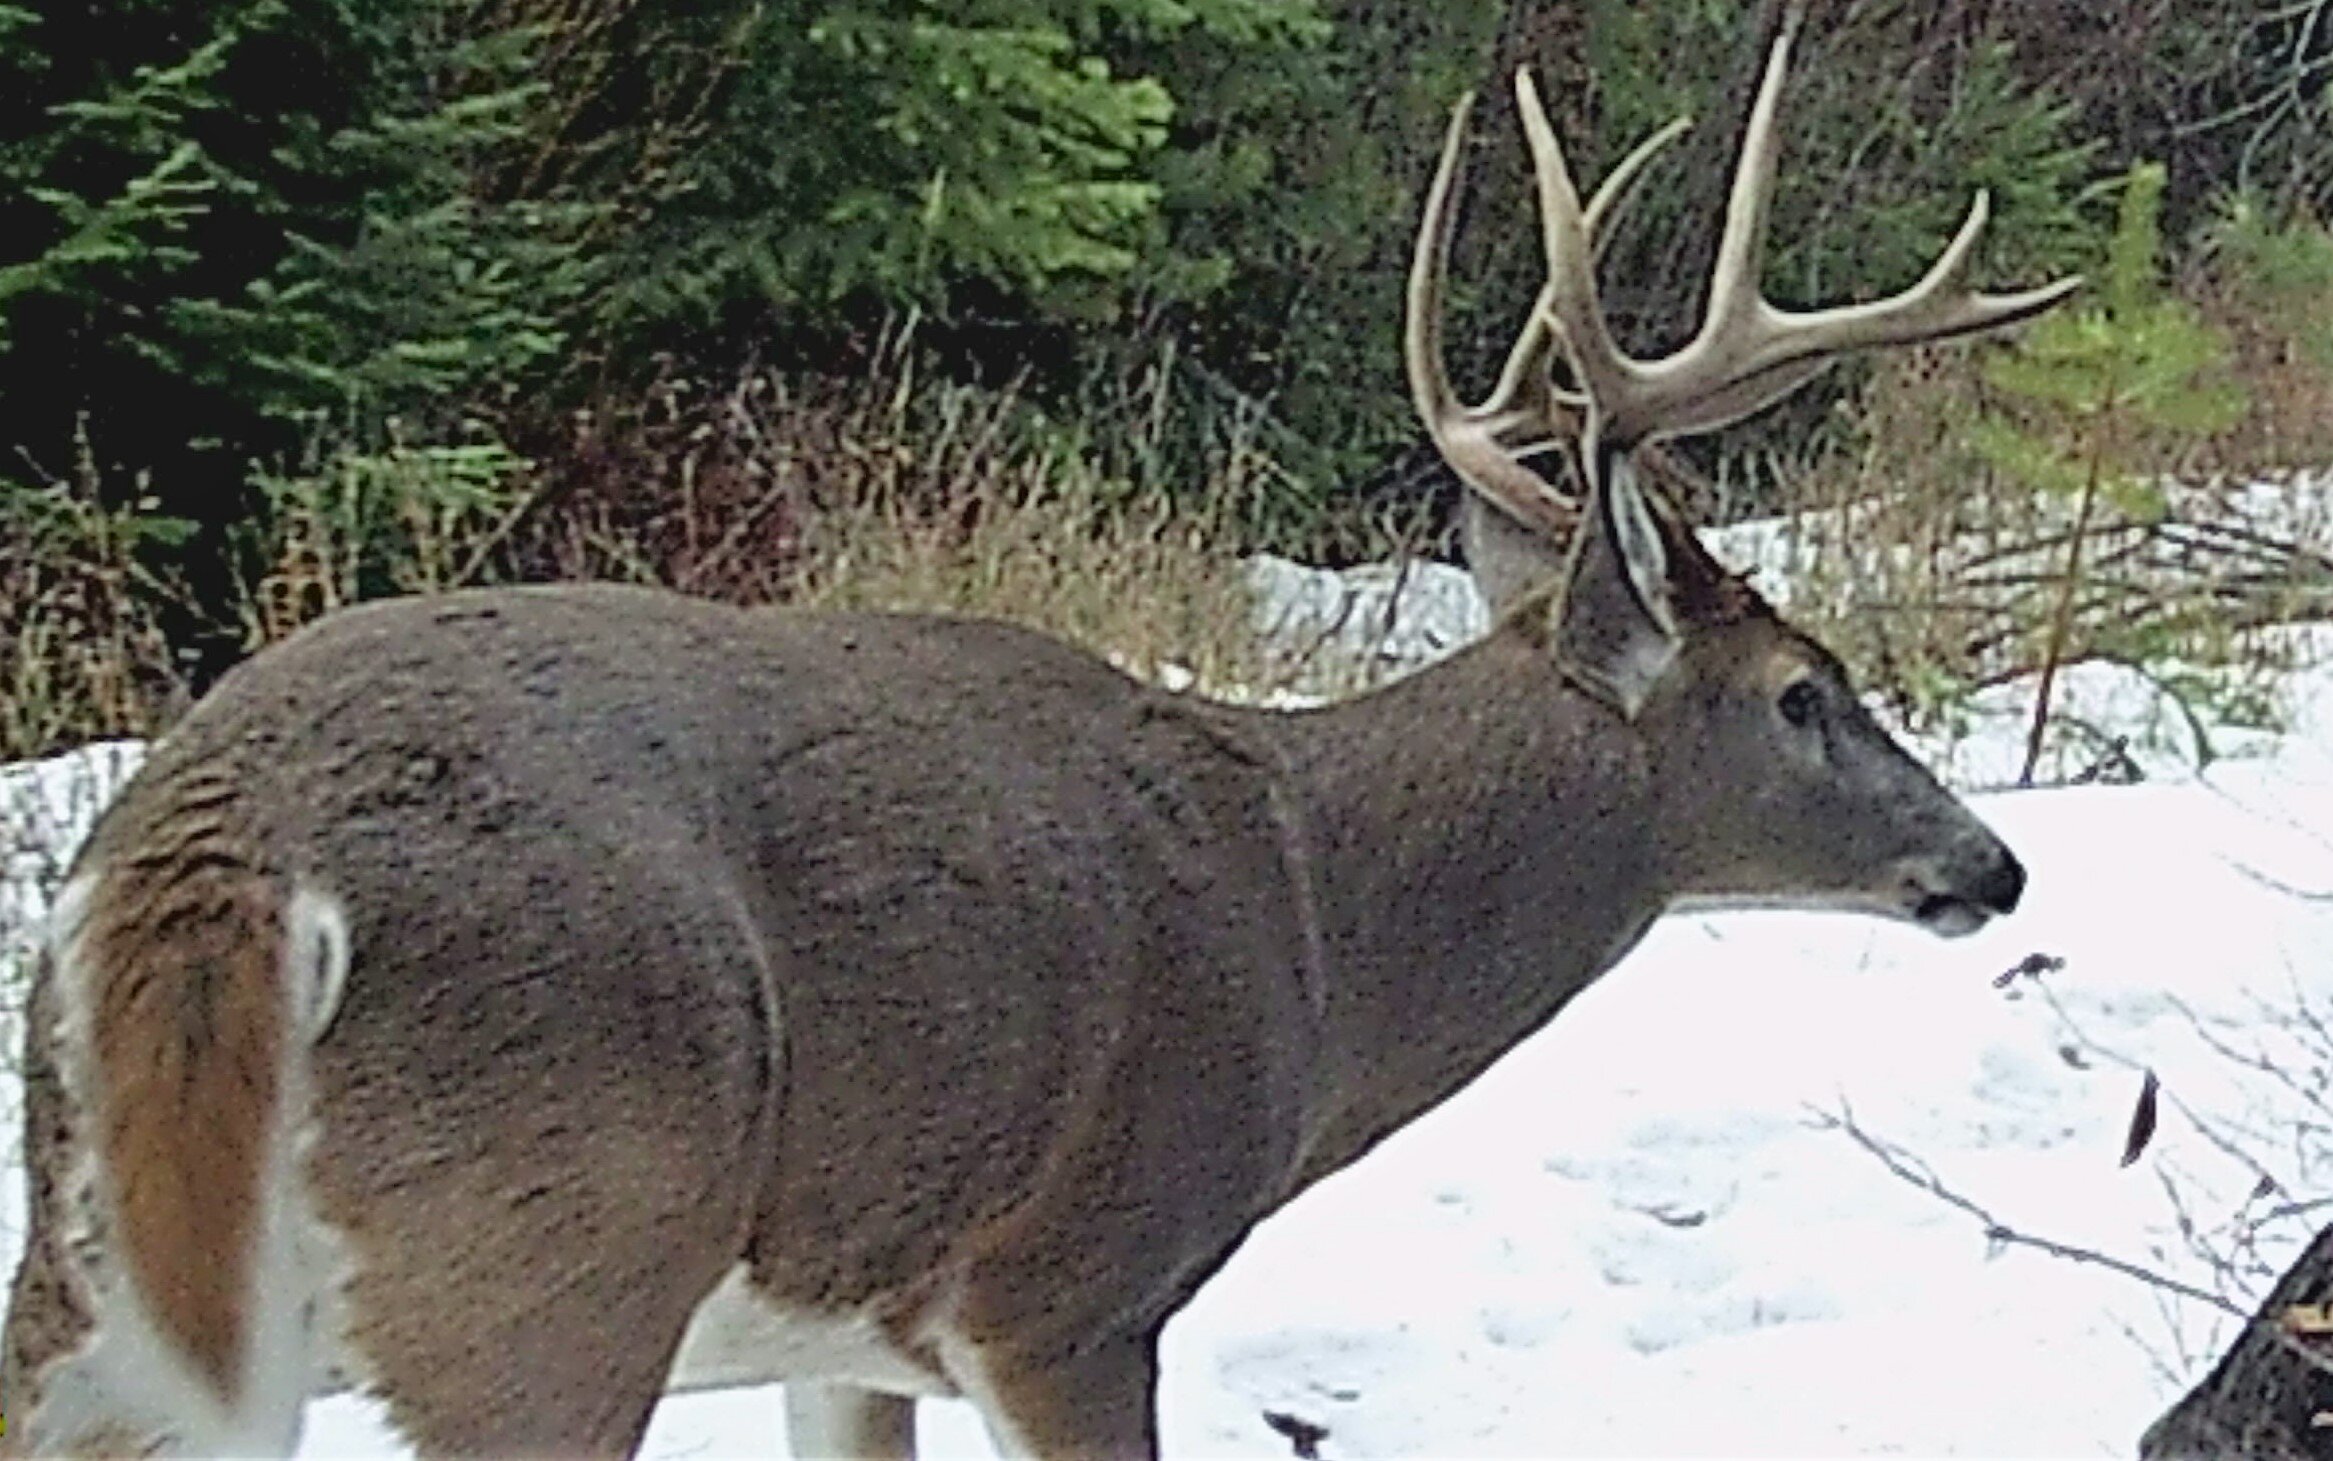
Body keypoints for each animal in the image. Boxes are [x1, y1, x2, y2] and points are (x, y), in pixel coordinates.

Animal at [4, 37, 2081, 1456]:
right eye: (1804, 692)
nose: (1990, 864)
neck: (1313, 929)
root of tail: (215, 845)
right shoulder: (1077, 1287)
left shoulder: (847, 1345)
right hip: (550, 1267)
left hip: (98, 1290)